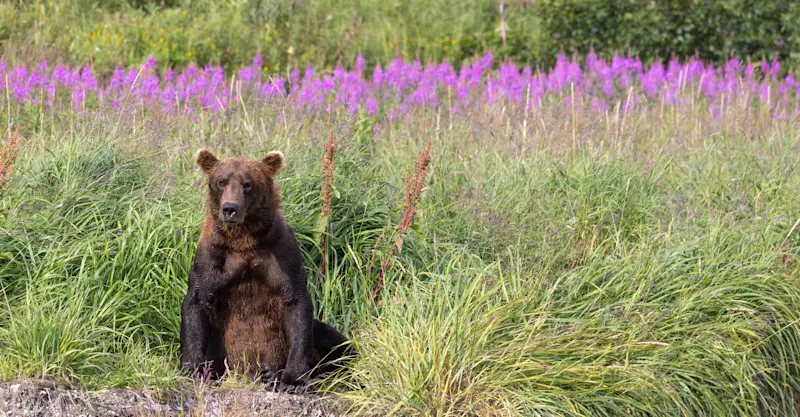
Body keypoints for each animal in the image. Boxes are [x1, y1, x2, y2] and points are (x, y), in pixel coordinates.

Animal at [179, 148, 350, 390]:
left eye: (247, 184)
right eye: (221, 181)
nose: (230, 209)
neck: (244, 240)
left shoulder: (282, 254)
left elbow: (296, 303)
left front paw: (291, 378)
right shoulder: (212, 256)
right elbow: (197, 302)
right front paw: (194, 369)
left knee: (332, 338)